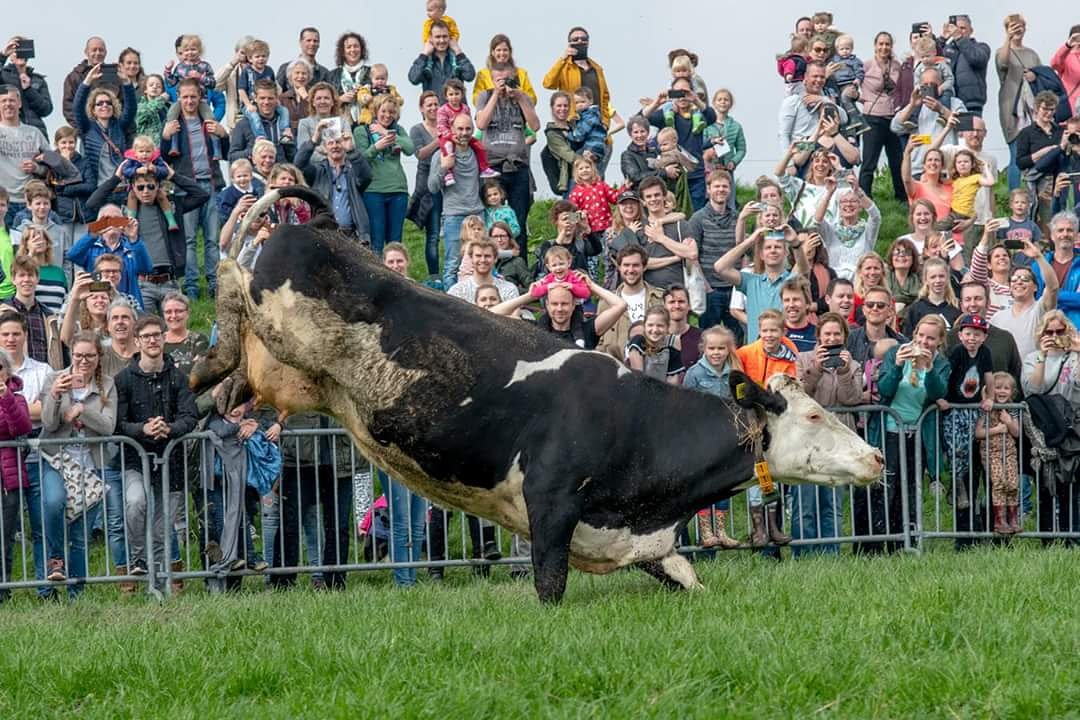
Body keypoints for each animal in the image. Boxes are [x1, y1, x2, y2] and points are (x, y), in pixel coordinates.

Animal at [191, 187, 884, 604]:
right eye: (815, 414)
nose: (877, 457)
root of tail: (323, 228)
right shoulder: (551, 505)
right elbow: (549, 587)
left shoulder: (647, 545)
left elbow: (693, 582)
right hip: (278, 317)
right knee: (228, 272)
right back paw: (201, 372)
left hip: (288, 368)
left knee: (240, 365)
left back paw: (212, 397)